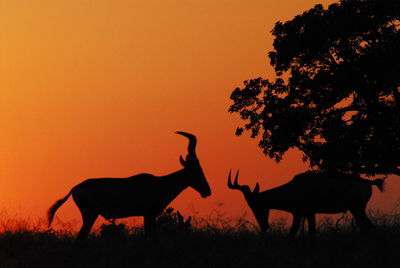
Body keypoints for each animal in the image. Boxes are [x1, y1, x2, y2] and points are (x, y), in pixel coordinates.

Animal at [48, 131, 211, 239]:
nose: (207, 191)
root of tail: (75, 188)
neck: (159, 183)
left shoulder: (148, 215)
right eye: (196, 170)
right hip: (90, 215)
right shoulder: (149, 214)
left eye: (201, 168)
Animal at [228, 170, 384, 237]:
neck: (295, 187)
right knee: (366, 228)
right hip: (355, 210)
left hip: (358, 209)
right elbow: (312, 232)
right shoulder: (310, 213)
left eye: (255, 204)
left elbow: (292, 234)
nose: (264, 226)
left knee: (371, 227)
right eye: (250, 205)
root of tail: (369, 182)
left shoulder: (298, 214)